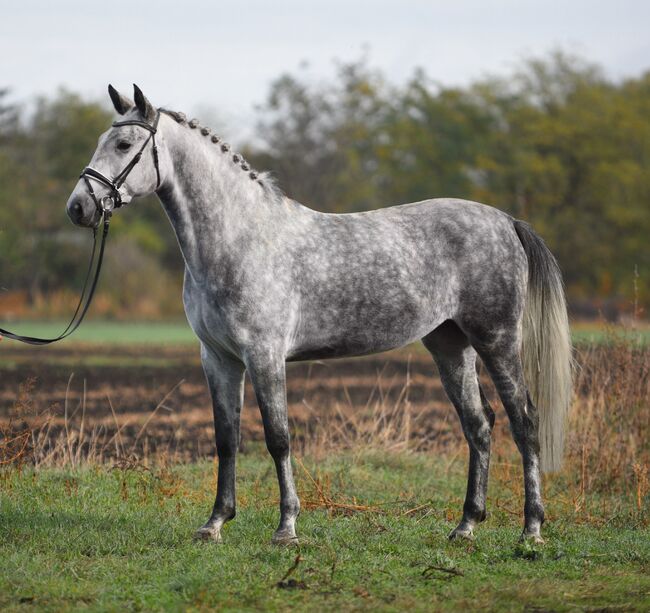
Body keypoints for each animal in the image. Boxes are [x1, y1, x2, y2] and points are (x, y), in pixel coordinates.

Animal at [66, 83, 568, 544]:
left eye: (123, 145)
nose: (78, 208)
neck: (238, 239)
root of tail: (506, 221)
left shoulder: (264, 356)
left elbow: (278, 437)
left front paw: (286, 528)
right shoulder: (219, 359)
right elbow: (226, 439)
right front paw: (215, 523)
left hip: (497, 340)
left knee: (524, 420)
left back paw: (531, 530)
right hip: (450, 344)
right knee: (478, 425)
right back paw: (465, 526)